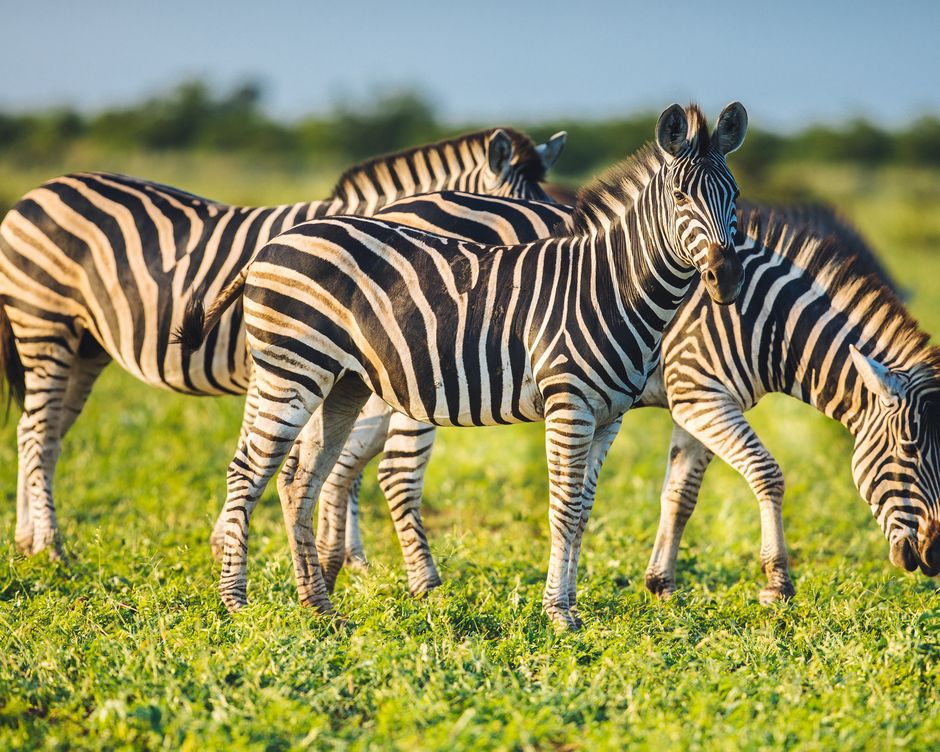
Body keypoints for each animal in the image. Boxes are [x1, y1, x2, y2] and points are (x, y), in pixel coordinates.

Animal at [0, 126, 566, 558]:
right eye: (524, 223)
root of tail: (38, 192)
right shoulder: (291, 363)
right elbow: (295, 455)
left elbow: (331, 460)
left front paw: (341, 556)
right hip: (43, 325)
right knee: (37, 431)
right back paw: (49, 545)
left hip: (86, 346)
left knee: (38, 431)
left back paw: (27, 539)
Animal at [177, 102, 748, 629]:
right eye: (681, 198)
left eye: (736, 198)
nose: (726, 278)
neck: (610, 286)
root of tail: (270, 246)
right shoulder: (570, 404)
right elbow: (563, 508)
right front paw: (559, 614)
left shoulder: (609, 416)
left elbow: (584, 510)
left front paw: (568, 607)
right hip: (291, 368)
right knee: (247, 471)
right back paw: (236, 604)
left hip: (342, 381)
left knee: (300, 478)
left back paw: (319, 607)